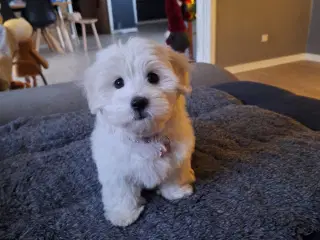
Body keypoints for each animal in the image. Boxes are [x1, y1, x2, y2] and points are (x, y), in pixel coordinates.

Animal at [82, 38, 195, 227]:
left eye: (153, 77)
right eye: (118, 83)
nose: (138, 102)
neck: (145, 136)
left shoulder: (178, 155)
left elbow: (174, 174)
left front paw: (175, 192)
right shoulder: (115, 168)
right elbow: (121, 191)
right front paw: (123, 215)